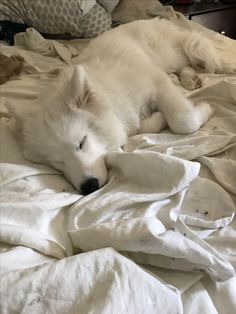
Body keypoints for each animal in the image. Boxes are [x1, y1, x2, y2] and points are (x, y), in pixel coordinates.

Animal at [7, 17, 234, 194]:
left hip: (173, 54)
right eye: (56, 162)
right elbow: (144, 125)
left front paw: (206, 108)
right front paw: (157, 118)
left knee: (192, 57)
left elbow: (184, 121)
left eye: (81, 143)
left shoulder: (157, 83)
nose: (88, 187)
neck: (110, 98)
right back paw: (190, 79)